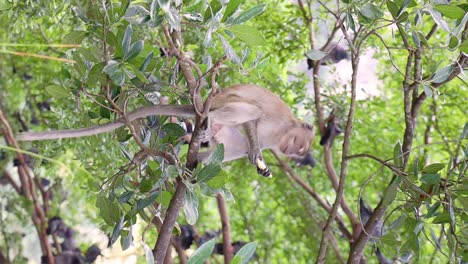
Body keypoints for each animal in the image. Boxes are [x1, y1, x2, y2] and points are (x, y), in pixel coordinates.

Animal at [17, 84, 314, 177]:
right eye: (299, 146)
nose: (291, 151)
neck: (283, 133)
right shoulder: (278, 123)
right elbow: (254, 119)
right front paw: (256, 153)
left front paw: (260, 164)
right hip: (224, 102)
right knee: (247, 110)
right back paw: (207, 123)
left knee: (229, 144)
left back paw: (200, 148)